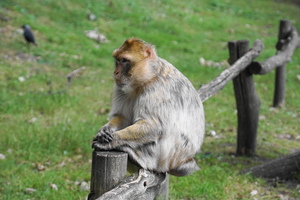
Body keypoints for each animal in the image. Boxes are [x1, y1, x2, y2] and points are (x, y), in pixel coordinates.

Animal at [93, 38, 206, 177]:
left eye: (124, 60)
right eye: (117, 60)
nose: (116, 72)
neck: (149, 76)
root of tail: (186, 161)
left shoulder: (157, 90)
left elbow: (155, 125)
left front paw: (112, 140)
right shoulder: (121, 88)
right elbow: (123, 117)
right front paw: (105, 130)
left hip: (170, 157)